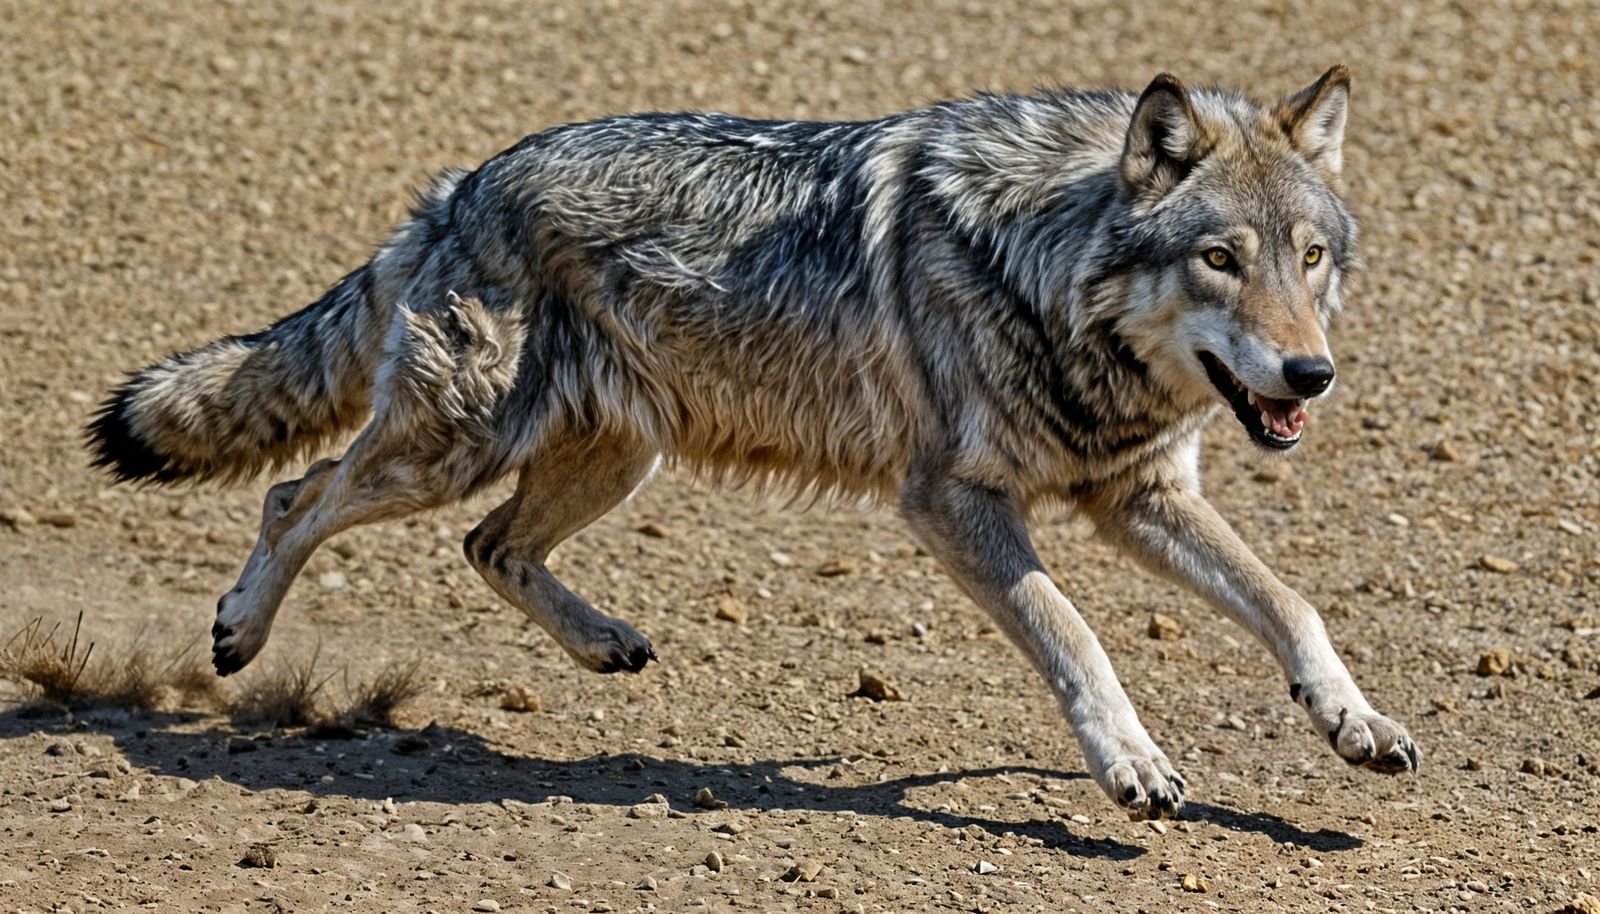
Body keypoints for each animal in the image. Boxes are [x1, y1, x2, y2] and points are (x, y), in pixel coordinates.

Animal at [88, 64, 1418, 820]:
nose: (1310, 373)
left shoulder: (1135, 496)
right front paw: (1130, 764)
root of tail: (458, 186)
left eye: (1309, 258)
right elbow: (1075, 635)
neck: (1041, 269)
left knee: (487, 546)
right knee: (298, 496)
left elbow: (1291, 603)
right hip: (451, 448)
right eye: (1219, 259)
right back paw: (237, 630)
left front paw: (1352, 723)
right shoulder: (954, 501)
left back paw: (603, 641)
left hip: (609, 459)